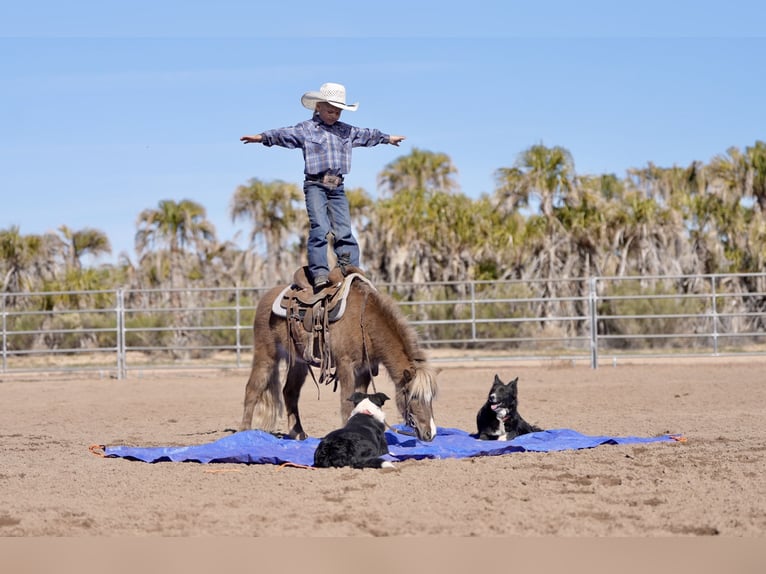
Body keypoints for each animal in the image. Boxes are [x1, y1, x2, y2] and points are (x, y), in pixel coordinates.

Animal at [238, 274, 438, 442]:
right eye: (413, 397)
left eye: (431, 398)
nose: (430, 434)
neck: (364, 322)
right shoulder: (345, 365)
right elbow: (346, 404)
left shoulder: (364, 369)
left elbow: (362, 400)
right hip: (266, 355)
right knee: (252, 389)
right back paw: (244, 432)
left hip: (298, 362)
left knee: (289, 392)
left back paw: (298, 433)